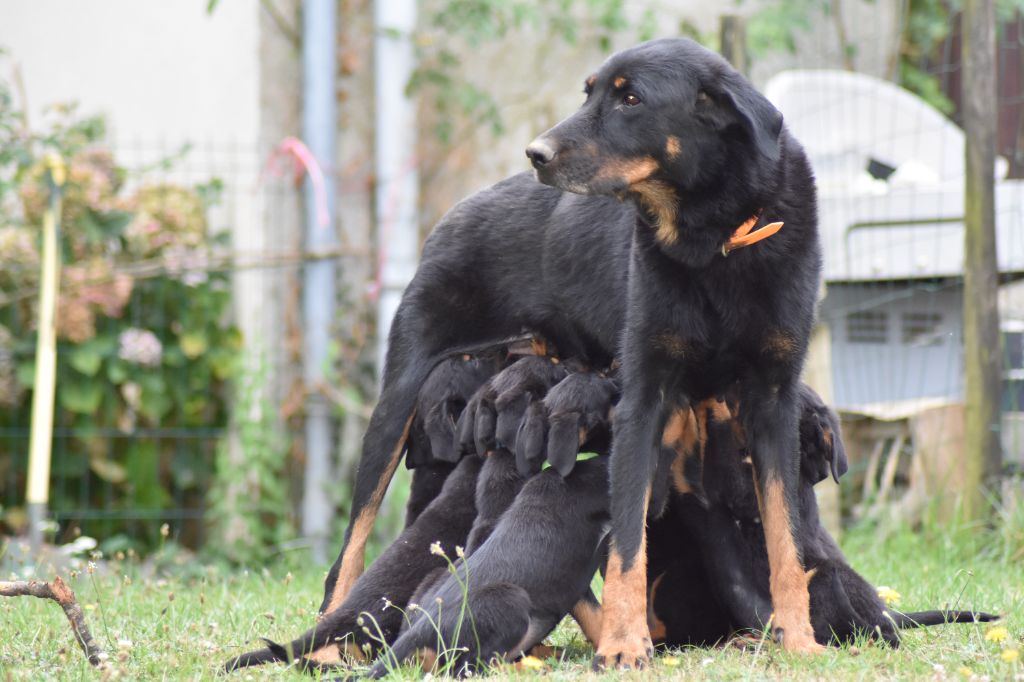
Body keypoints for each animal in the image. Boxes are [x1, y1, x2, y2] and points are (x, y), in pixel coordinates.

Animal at [323, 35, 819, 663]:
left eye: (631, 99)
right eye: (590, 93)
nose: (535, 153)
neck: (712, 238)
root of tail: (455, 212)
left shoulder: (773, 400)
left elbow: (785, 539)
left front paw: (799, 637)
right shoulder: (643, 400)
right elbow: (629, 542)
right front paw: (626, 645)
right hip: (398, 400)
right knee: (349, 547)